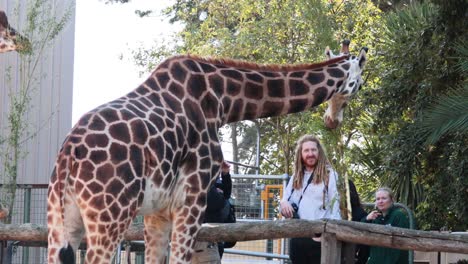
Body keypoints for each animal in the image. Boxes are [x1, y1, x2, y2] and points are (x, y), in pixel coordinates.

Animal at [48, 40, 370, 262]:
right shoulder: (192, 197)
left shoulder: (157, 211)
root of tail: (69, 155)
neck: (222, 100)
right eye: (359, 84)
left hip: (63, 221)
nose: (332, 121)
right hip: (110, 216)